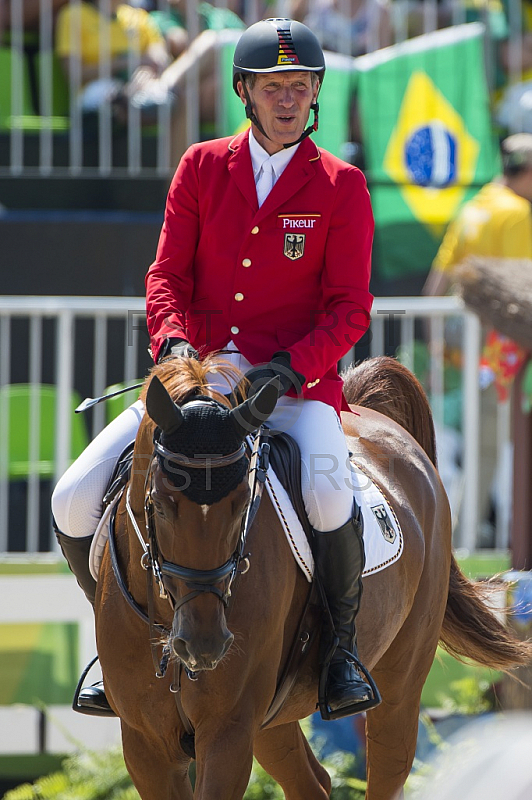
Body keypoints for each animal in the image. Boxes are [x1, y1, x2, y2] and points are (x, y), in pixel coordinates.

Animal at [94, 356, 528, 800]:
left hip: (400, 683)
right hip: (273, 718)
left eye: (243, 504)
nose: (204, 645)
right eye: (161, 506)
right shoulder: (146, 745)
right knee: (313, 782)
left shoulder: (227, 733)